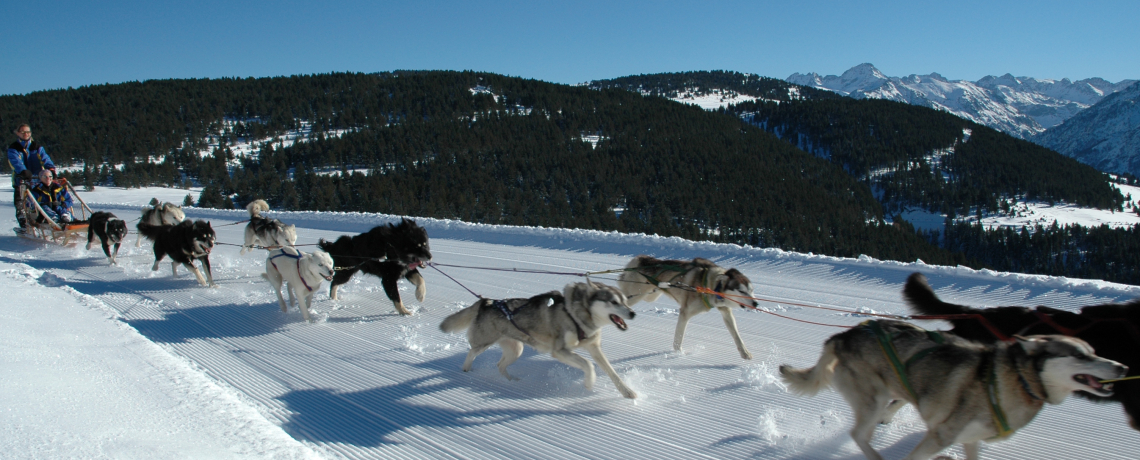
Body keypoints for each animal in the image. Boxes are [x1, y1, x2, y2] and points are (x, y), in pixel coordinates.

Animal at [437, 282, 638, 396]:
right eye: (613, 302)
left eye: (625, 300)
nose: (633, 313)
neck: (578, 315)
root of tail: (486, 301)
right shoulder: (560, 351)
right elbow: (588, 365)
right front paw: (589, 383)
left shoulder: (594, 348)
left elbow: (612, 372)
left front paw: (628, 392)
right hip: (484, 342)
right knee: (471, 352)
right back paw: (466, 370)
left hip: (516, 349)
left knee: (500, 365)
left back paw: (512, 381)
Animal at [615, 255, 756, 359]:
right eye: (741, 291)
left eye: (751, 290)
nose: (756, 303)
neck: (711, 285)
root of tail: (639, 259)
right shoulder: (685, 312)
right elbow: (678, 339)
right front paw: (679, 354)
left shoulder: (726, 311)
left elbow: (736, 335)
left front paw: (745, 352)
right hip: (636, 295)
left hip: (650, 295)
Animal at [779, 318, 1126, 459]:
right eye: (1079, 355)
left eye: (1094, 351)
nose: (1122, 368)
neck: (1018, 381)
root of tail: (842, 336)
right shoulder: (941, 436)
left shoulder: (970, 440)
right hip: (873, 398)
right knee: (858, 434)